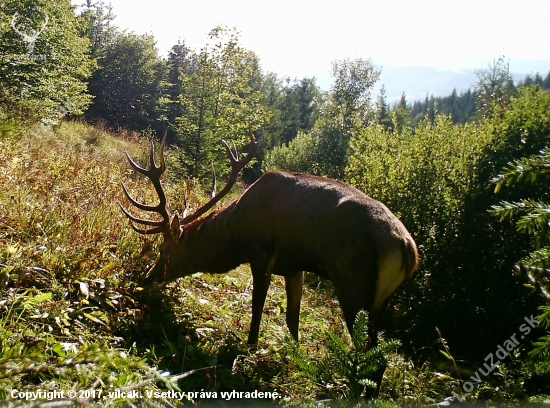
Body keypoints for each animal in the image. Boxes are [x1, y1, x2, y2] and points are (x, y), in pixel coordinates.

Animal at [122, 126, 422, 344]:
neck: (237, 234)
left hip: (354, 282)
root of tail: (408, 250)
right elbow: (292, 319)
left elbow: (257, 306)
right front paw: (294, 355)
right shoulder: (294, 267)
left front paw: (250, 346)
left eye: (162, 250)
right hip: (381, 299)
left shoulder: (261, 253)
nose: (146, 277)